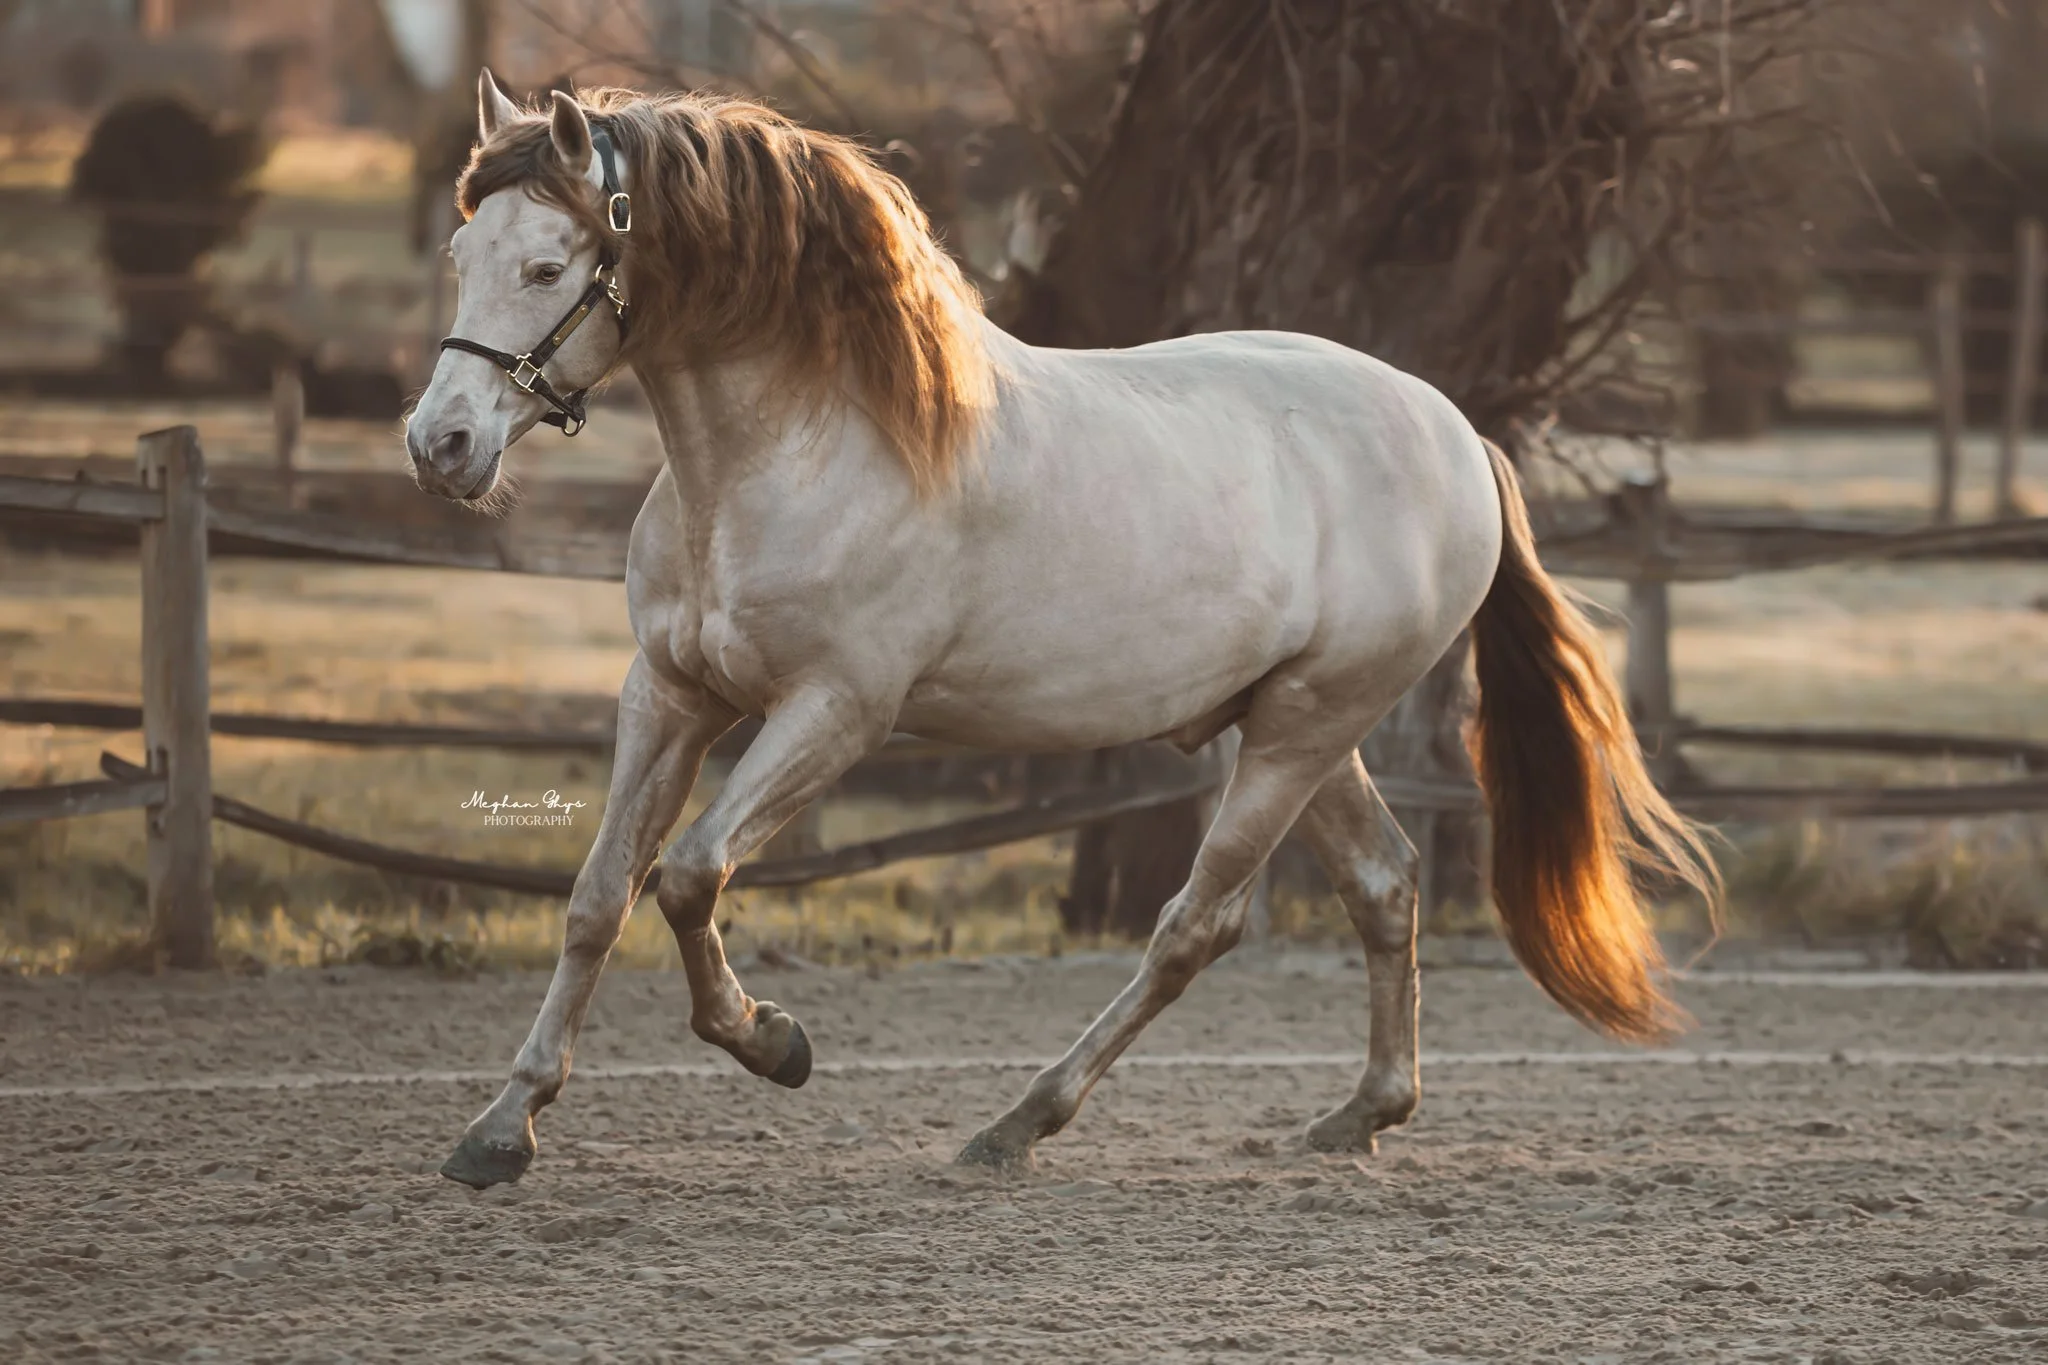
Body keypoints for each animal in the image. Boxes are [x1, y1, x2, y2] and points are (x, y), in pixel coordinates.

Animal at [406, 72, 1717, 1189]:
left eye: (546, 264)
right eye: (461, 252)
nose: (440, 445)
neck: (794, 451)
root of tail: (1450, 432)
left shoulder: (835, 713)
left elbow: (687, 875)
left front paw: (773, 1041)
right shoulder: (668, 695)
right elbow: (597, 896)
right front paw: (500, 1130)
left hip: (1299, 730)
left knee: (1197, 924)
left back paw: (1016, 1123)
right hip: (1288, 727)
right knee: (1383, 885)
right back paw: (1357, 1116)